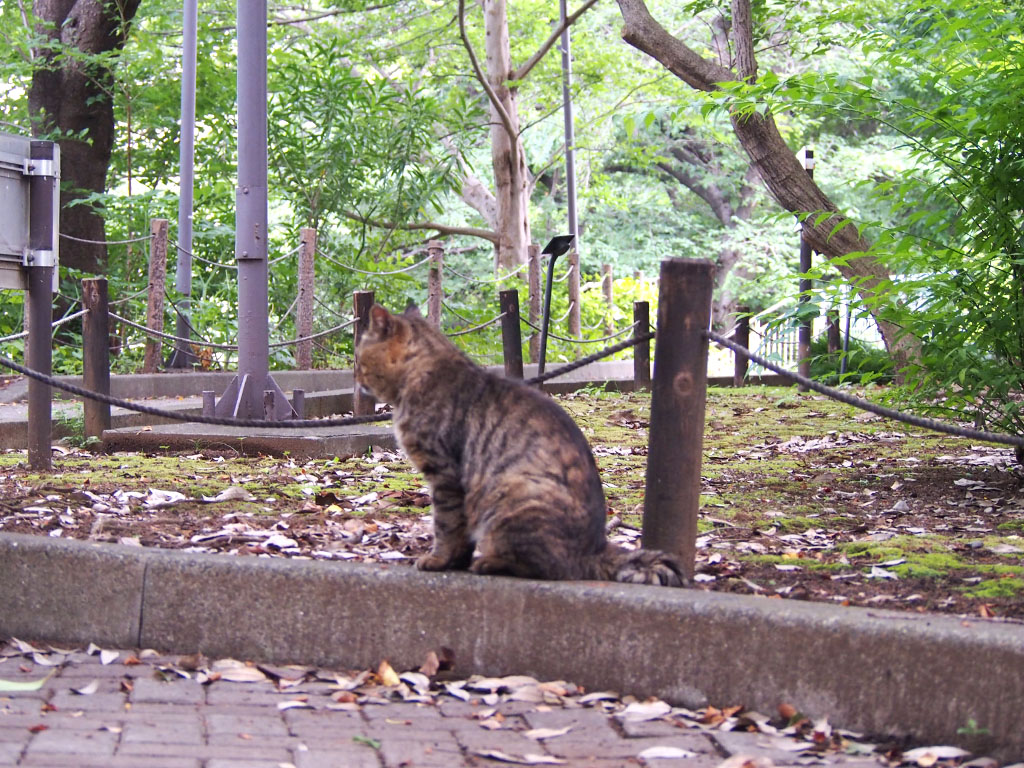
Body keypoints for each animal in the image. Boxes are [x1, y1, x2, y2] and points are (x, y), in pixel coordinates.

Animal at [354, 303, 688, 585]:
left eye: (358, 358)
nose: (355, 375)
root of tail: (597, 548)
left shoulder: (445, 475)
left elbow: (447, 526)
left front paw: (439, 561)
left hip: (513, 494)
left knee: (551, 567)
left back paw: (490, 563)